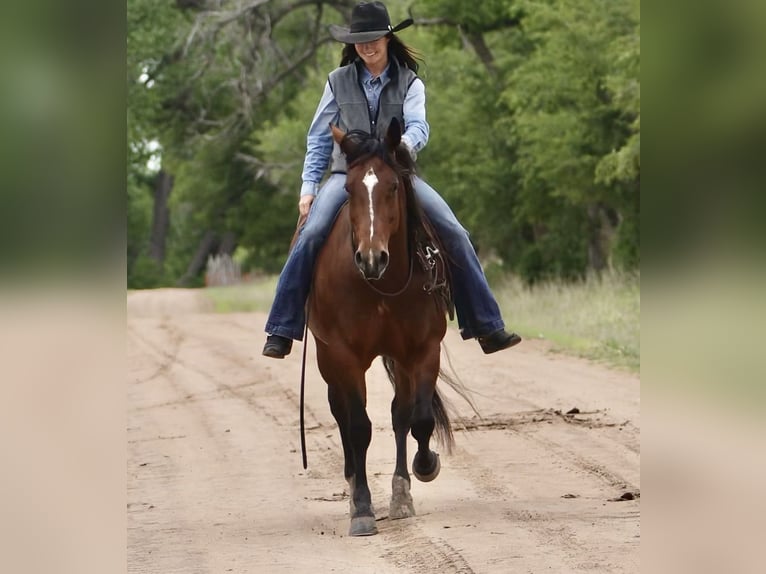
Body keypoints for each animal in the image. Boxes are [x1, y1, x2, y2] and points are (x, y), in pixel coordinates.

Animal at [308, 119, 460, 536]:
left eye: (393, 186)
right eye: (349, 188)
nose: (371, 257)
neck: (382, 285)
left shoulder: (422, 350)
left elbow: (416, 418)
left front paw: (419, 472)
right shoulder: (344, 357)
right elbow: (358, 427)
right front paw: (361, 508)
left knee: (399, 414)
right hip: (328, 361)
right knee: (342, 415)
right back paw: (351, 483)